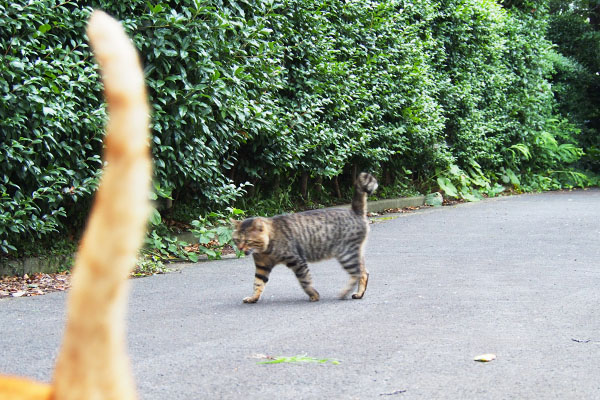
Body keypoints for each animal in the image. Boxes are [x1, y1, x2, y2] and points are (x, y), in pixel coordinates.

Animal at [232, 173, 378, 304]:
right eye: (237, 240)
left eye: (248, 241)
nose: (240, 248)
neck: (266, 248)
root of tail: (355, 211)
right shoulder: (262, 266)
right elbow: (258, 284)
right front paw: (253, 298)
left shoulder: (297, 261)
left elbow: (305, 281)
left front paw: (314, 295)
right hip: (354, 254)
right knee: (364, 272)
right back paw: (358, 294)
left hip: (346, 255)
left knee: (357, 273)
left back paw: (344, 293)